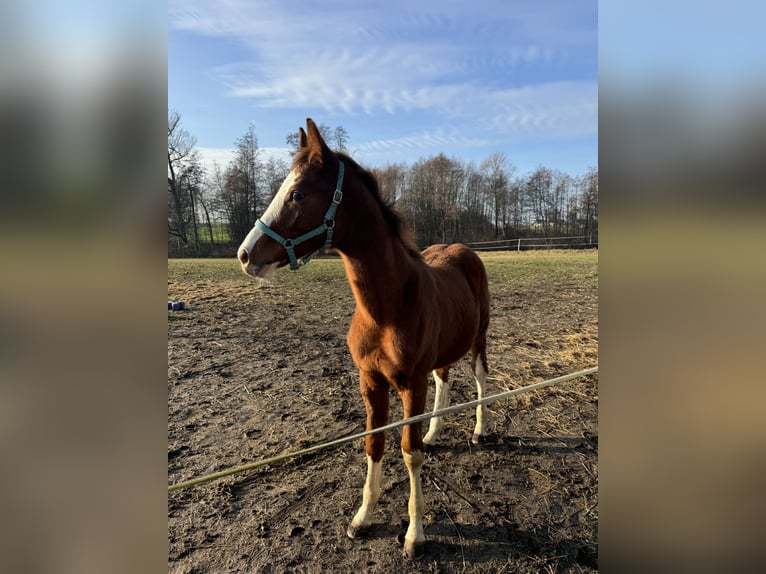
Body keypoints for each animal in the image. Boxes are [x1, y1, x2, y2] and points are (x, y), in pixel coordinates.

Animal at [236, 119, 492, 560]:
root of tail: (465, 250)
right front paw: (361, 519)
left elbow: (409, 452)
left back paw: (478, 430)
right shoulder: (371, 382)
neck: (387, 310)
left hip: (478, 340)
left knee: (478, 378)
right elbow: (375, 443)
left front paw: (414, 535)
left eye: (298, 193)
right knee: (444, 379)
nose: (245, 254)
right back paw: (435, 432)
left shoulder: (410, 384)